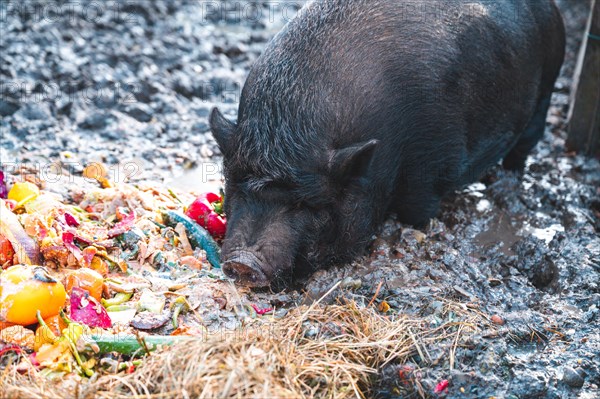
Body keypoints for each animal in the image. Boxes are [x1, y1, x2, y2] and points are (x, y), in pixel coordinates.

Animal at [209, 0, 564, 288]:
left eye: (308, 205)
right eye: (236, 188)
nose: (242, 262)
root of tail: (551, 10)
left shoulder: (430, 167)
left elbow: (417, 213)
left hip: (546, 90)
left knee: (522, 149)